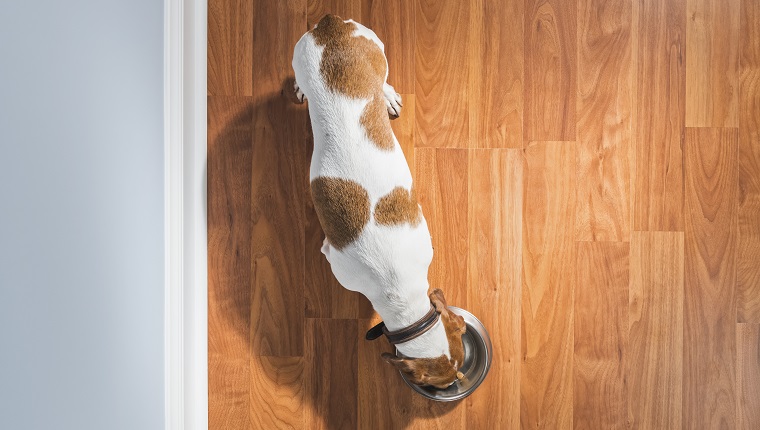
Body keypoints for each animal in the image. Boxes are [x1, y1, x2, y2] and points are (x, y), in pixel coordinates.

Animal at [292, 15, 466, 388]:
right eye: (439, 384)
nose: (456, 385)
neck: (397, 289)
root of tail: (330, 24)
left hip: (377, 51)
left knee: (383, 79)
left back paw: (386, 97)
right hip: (306, 57)